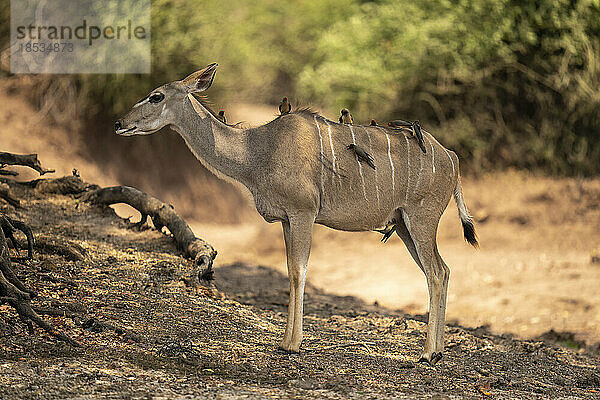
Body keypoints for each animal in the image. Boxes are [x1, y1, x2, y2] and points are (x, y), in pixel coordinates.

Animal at [113, 63, 478, 366]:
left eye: (156, 96)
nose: (119, 123)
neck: (258, 151)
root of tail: (451, 157)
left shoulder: (303, 213)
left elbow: (298, 271)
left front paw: (292, 344)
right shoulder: (287, 220)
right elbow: (290, 270)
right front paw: (284, 341)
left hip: (421, 219)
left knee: (436, 272)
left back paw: (428, 354)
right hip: (402, 225)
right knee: (442, 270)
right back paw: (437, 351)